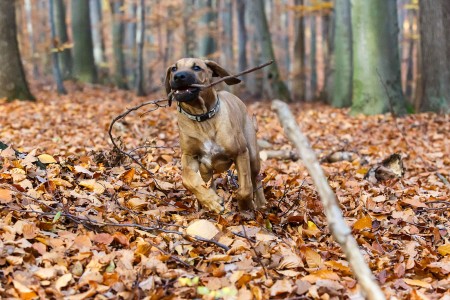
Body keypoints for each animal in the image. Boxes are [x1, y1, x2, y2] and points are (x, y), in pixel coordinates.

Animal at [164, 58, 266, 213]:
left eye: (196, 67)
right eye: (174, 68)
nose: (179, 76)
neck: (202, 118)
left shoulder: (241, 153)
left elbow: (245, 189)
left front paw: (245, 207)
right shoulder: (189, 156)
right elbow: (187, 178)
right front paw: (212, 201)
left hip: (253, 155)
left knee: (256, 179)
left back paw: (261, 204)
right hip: (205, 169)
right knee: (209, 181)